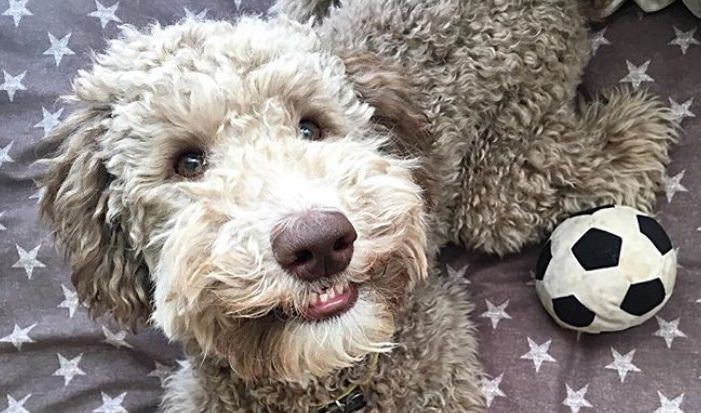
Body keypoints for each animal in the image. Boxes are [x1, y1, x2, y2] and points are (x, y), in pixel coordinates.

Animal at [39, 0, 680, 410]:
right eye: (188, 163)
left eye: (311, 127)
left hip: (503, 183)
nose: (320, 241)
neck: (329, 379)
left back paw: (636, 119)